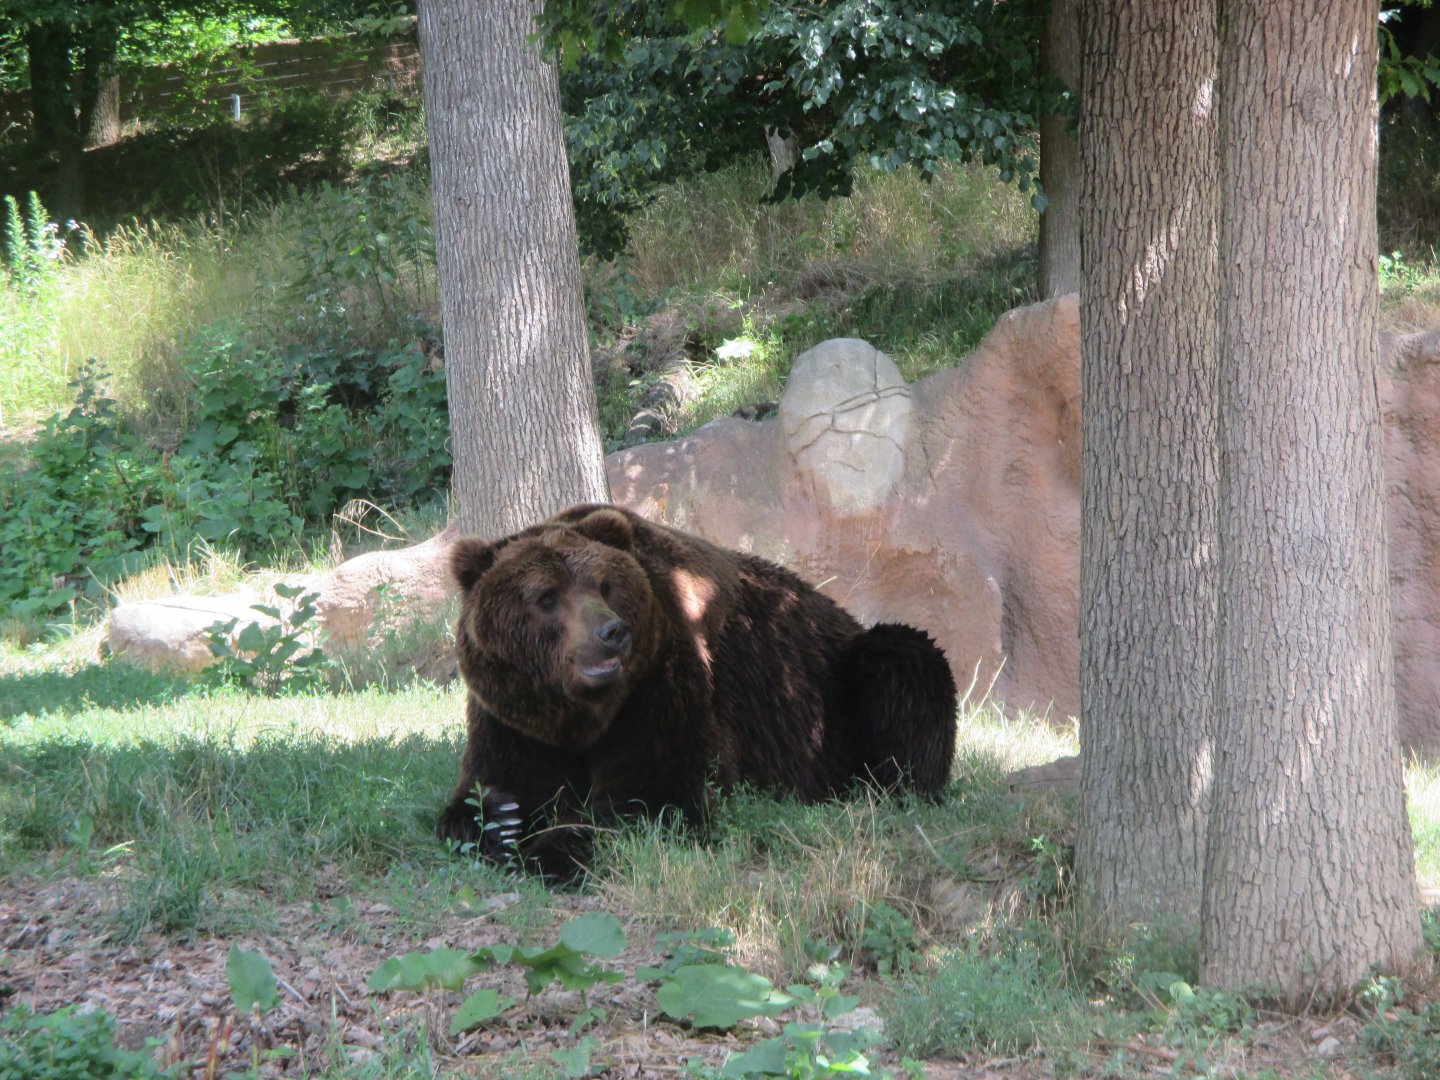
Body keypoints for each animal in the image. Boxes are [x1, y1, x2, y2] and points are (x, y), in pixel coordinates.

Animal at [436, 503, 958, 877]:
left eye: (604, 585)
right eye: (546, 597)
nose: (612, 632)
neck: (584, 717)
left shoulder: (659, 682)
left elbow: (653, 794)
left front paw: (550, 847)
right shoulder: (512, 715)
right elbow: (486, 783)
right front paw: (498, 817)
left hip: (834, 685)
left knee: (903, 666)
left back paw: (890, 787)